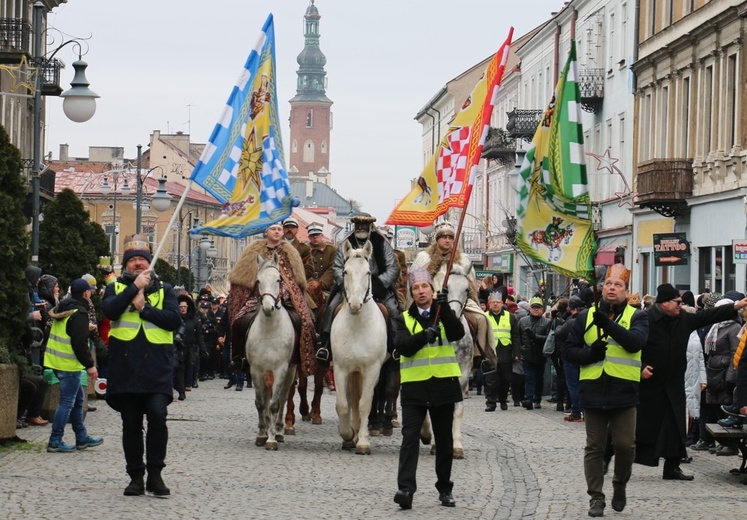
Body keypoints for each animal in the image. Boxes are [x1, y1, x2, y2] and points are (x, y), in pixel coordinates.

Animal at [245, 254, 296, 448]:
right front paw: (262, 434)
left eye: (278, 279)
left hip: (290, 372)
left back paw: (279, 431)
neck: (269, 331)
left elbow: (275, 403)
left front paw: (272, 439)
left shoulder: (280, 369)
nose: (268, 307)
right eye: (258, 281)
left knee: (283, 397)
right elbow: (260, 403)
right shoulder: (256, 370)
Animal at [334, 242, 392, 452]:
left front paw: (363, 441)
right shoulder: (341, 368)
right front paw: (348, 434)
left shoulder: (372, 369)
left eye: (368, 272)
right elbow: (343, 404)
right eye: (345, 271)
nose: (355, 305)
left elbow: (365, 403)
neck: (358, 325)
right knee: (352, 400)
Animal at [420, 268, 474, 460]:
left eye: (466, 289)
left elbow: (457, 409)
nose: (455, 314)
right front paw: (436, 444)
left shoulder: (463, 375)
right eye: (446, 288)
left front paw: (457, 446)